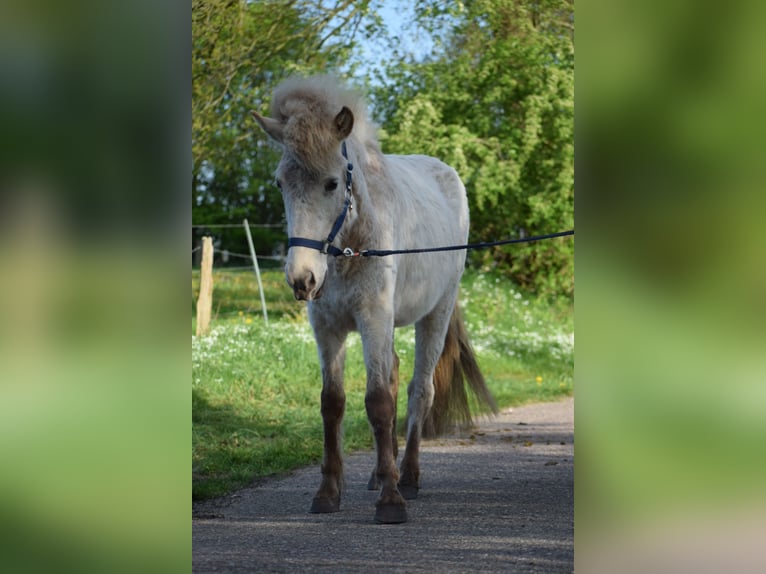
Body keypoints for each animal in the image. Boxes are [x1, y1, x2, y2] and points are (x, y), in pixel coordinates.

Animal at [254, 74, 498, 524]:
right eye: (281, 183)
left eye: (332, 182)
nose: (302, 278)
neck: (351, 246)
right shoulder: (328, 329)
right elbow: (333, 403)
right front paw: (329, 492)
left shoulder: (373, 319)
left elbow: (379, 401)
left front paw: (391, 500)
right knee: (396, 373)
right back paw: (380, 473)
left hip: (434, 315)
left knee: (419, 390)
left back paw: (409, 477)